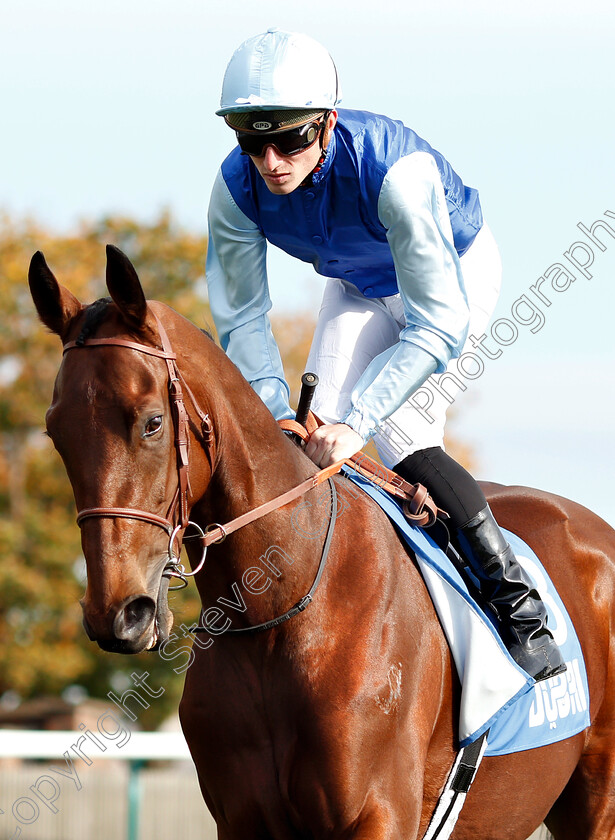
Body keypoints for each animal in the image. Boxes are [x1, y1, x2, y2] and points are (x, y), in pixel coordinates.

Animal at [27, 244, 615, 840]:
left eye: (150, 423)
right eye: (56, 433)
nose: (118, 613)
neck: (279, 607)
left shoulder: (379, 815)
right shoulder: (240, 820)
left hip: (597, 801)